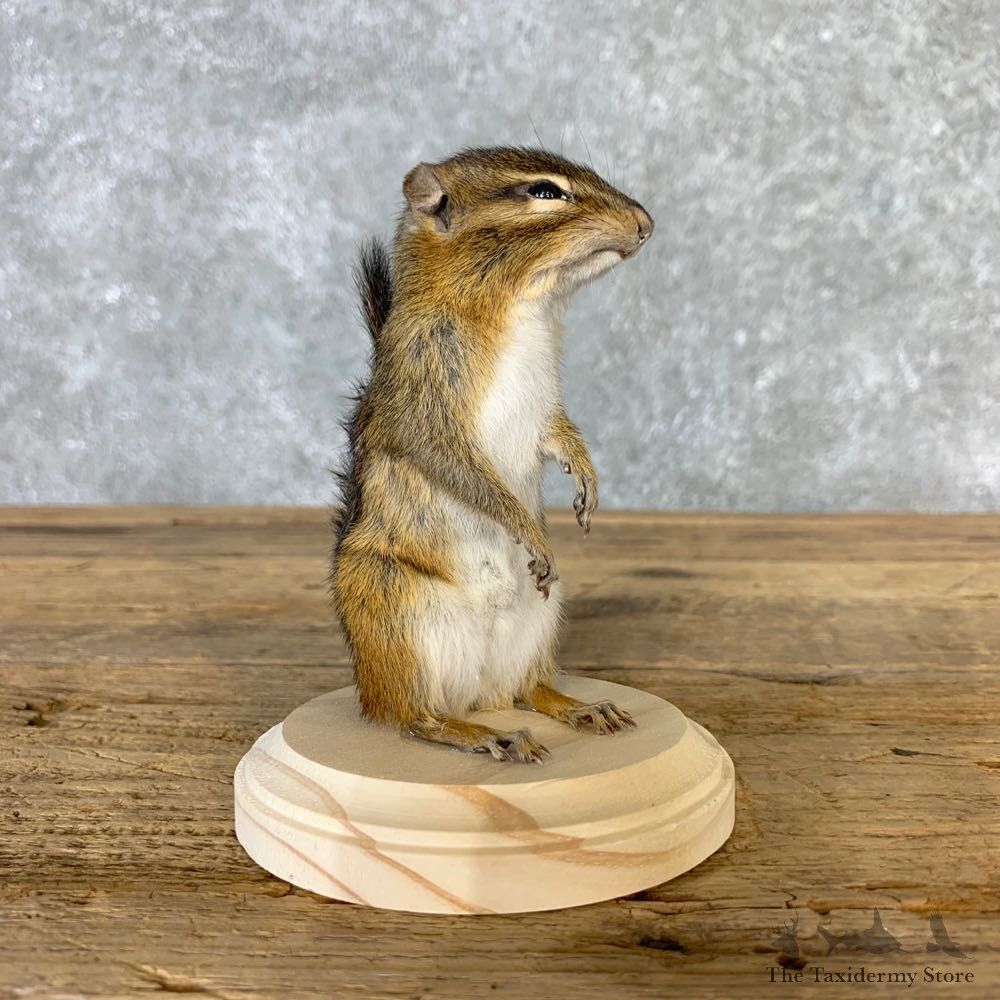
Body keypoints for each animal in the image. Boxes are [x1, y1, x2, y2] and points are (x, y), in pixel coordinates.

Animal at [330, 146, 653, 763]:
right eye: (545, 192)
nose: (646, 224)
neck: (522, 309)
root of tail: (476, 693)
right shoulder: (426, 403)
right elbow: (465, 472)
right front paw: (525, 528)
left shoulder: (544, 405)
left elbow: (558, 433)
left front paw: (587, 477)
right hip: (396, 616)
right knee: (413, 718)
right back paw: (484, 734)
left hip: (543, 615)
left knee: (528, 688)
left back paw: (579, 707)